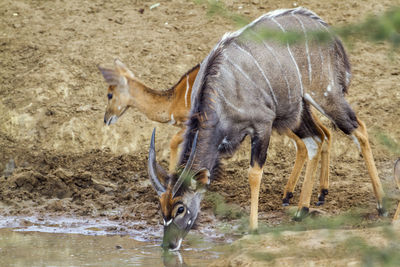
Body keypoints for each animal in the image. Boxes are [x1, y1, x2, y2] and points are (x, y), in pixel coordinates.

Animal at [148, 7, 386, 252]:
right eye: (161, 206)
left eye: (181, 208)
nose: (168, 245)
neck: (222, 91)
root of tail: (330, 34)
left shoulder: (262, 125)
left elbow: (254, 173)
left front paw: (253, 228)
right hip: (298, 109)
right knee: (316, 140)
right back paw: (302, 209)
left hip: (326, 96)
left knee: (359, 129)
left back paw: (381, 204)